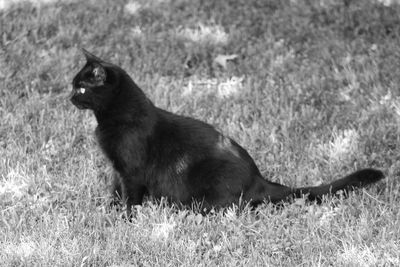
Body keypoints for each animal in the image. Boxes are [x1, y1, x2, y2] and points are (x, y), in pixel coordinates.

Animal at [71, 48, 384, 216]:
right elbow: (115, 189)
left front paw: (125, 219)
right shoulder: (117, 168)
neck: (114, 117)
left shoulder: (132, 172)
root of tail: (258, 179)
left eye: (82, 88)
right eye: (74, 85)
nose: (69, 96)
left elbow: (131, 198)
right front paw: (110, 208)